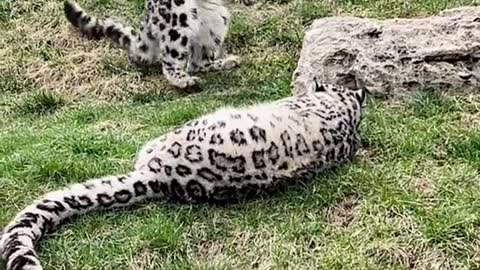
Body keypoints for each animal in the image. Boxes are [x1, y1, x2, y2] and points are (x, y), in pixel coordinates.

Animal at [64, 0, 255, 88]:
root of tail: (148, 15)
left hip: (217, 18)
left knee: (196, 63)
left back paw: (226, 62)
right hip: (179, 17)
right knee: (171, 62)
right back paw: (185, 81)